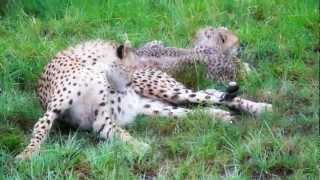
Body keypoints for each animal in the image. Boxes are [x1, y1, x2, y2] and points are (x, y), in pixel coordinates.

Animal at [16, 37, 272, 159]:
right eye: (129, 65)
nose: (127, 88)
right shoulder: (65, 115)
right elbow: (39, 132)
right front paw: (27, 155)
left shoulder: (102, 117)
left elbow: (121, 133)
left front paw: (140, 148)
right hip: (157, 108)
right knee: (195, 110)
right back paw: (219, 116)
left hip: (166, 91)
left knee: (213, 96)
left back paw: (260, 108)